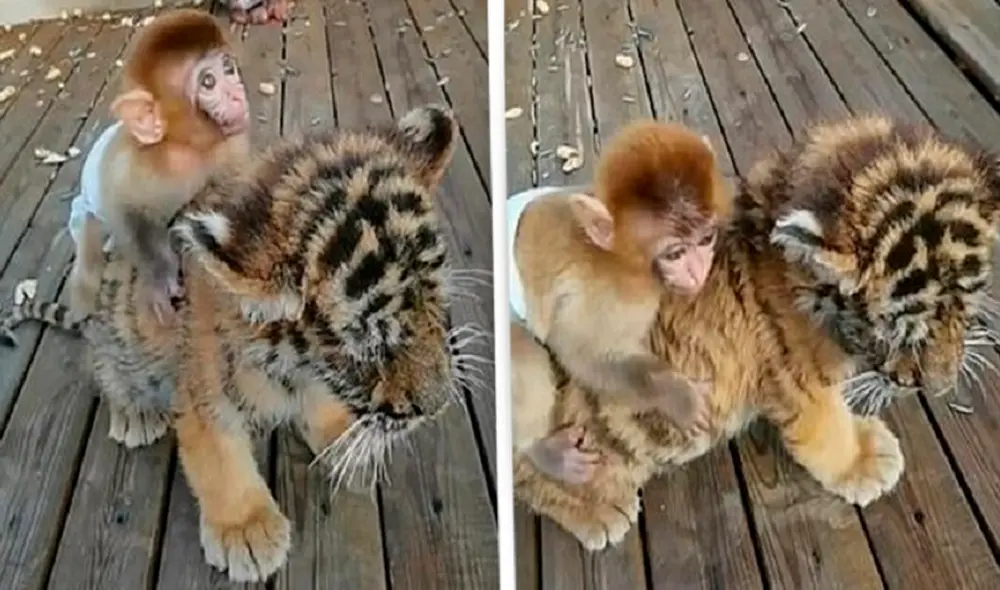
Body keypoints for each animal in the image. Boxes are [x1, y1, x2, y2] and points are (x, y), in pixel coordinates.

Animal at [0, 104, 489, 582]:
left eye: (436, 303)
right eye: (365, 343)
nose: (438, 406)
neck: (297, 365)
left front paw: (346, 438)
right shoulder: (202, 397)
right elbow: (219, 457)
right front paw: (246, 532)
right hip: (117, 338)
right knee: (105, 369)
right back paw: (135, 415)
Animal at [511, 114, 1000, 551]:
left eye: (964, 307)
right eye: (900, 333)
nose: (939, 388)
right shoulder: (799, 382)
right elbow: (826, 431)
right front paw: (862, 462)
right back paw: (598, 510)